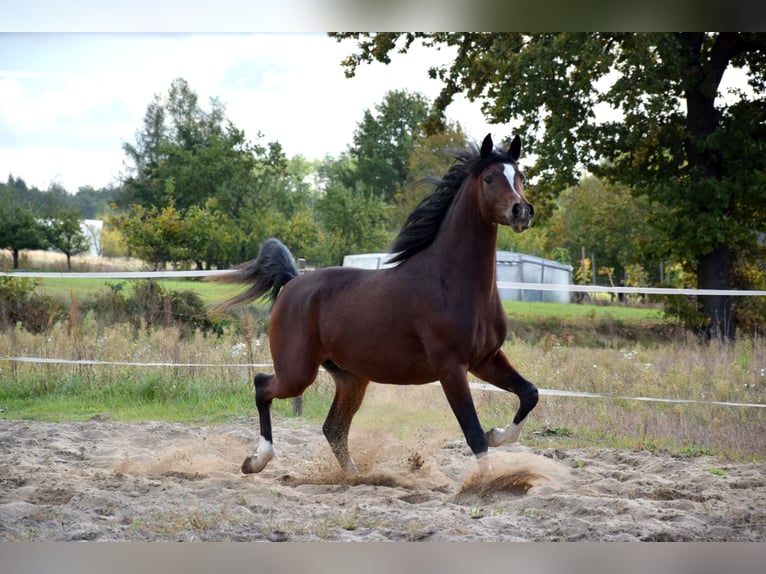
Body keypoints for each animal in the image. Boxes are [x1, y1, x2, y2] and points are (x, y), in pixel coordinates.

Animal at [215, 133, 538, 475]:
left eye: (521, 176)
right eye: (489, 178)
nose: (521, 211)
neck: (454, 282)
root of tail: (292, 281)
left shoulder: (486, 358)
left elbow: (529, 393)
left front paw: (498, 434)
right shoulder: (451, 367)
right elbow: (474, 435)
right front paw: (486, 478)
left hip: (351, 377)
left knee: (333, 428)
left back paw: (354, 477)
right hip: (297, 372)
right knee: (262, 385)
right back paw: (256, 460)